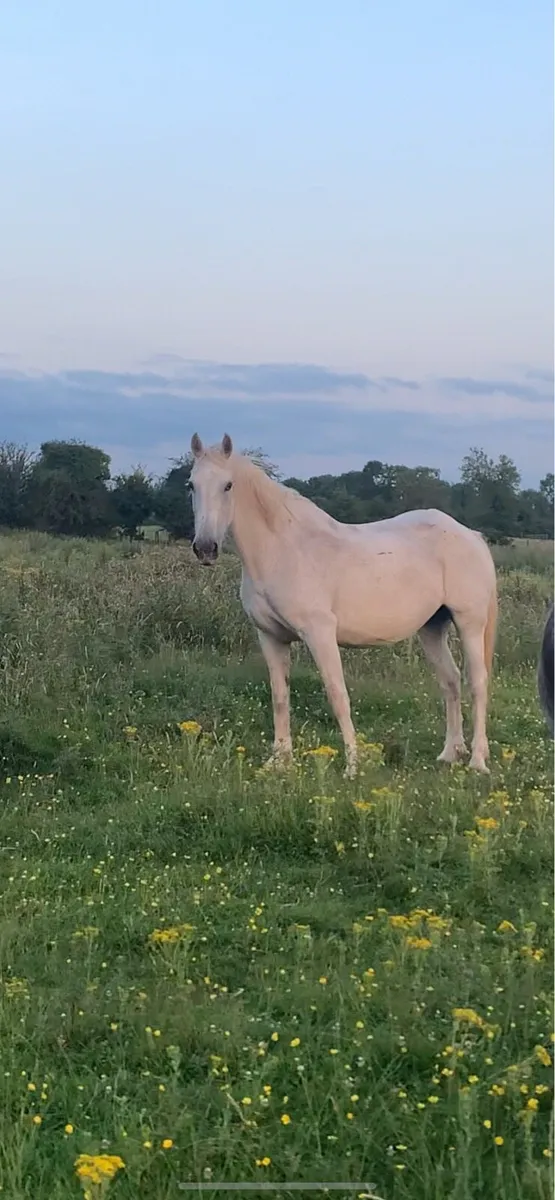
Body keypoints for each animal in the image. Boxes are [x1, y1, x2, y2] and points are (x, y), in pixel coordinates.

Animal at [189, 433, 498, 777]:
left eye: (228, 485)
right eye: (191, 485)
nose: (205, 548)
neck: (283, 551)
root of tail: (470, 534)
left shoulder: (319, 633)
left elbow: (337, 694)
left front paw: (352, 766)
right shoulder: (270, 636)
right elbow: (280, 696)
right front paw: (279, 762)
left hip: (469, 623)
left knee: (477, 683)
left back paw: (477, 761)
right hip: (432, 628)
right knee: (450, 681)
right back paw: (450, 753)